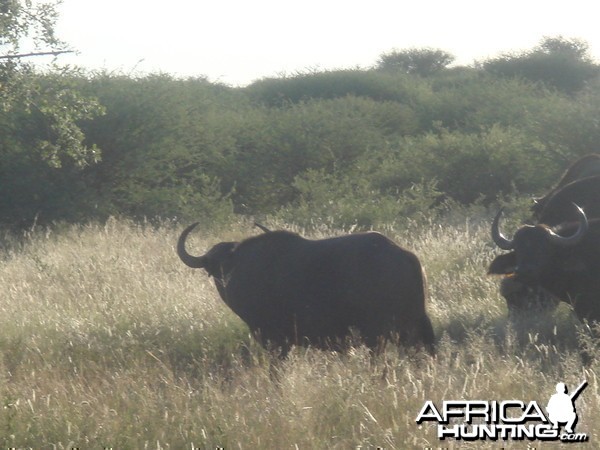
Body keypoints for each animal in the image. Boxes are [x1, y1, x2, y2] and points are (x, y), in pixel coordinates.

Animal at [176, 224, 434, 356]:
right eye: (213, 267)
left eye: (226, 264)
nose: (226, 280)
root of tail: (404, 256)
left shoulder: (274, 339)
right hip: (413, 327)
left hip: (377, 332)